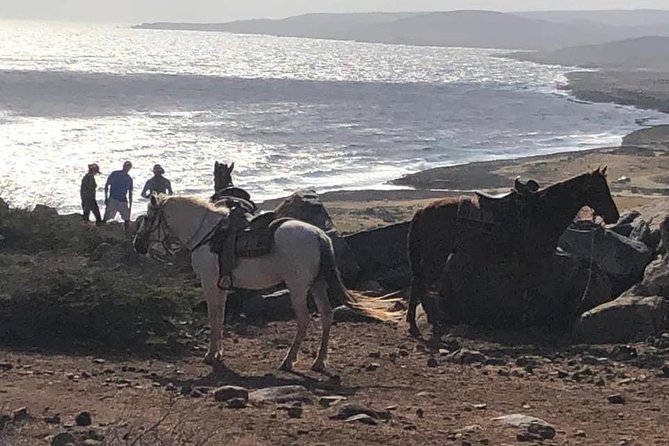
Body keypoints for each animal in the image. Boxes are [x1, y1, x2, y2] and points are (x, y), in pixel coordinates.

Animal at [134, 195, 396, 372]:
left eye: (147, 217)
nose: (138, 245)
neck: (207, 235)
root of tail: (319, 235)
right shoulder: (220, 285)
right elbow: (219, 317)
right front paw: (218, 354)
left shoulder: (209, 283)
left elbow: (213, 317)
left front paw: (210, 355)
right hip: (317, 285)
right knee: (326, 315)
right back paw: (319, 362)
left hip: (298, 287)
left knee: (304, 319)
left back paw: (288, 361)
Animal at [408, 169, 620, 336]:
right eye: (599, 190)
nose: (614, 216)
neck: (542, 212)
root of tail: (422, 210)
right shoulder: (535, 260)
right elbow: (531, 291)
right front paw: (528, 322)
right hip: (435, 255)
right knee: (419, 283)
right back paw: (419, 324)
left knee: (419, 283)